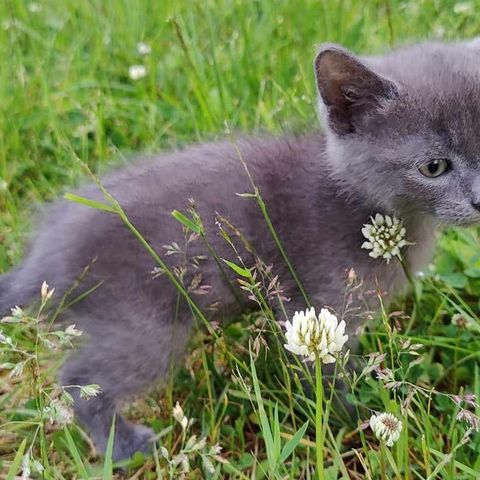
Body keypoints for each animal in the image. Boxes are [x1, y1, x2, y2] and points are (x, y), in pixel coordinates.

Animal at [0, 41, 480, 462]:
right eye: (433, 167)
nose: (479, 199)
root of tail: (42, 258)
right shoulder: (315, 301)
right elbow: (324, 374)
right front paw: (354, 419)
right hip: (143, 326)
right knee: (81, 380)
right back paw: (124, 447)